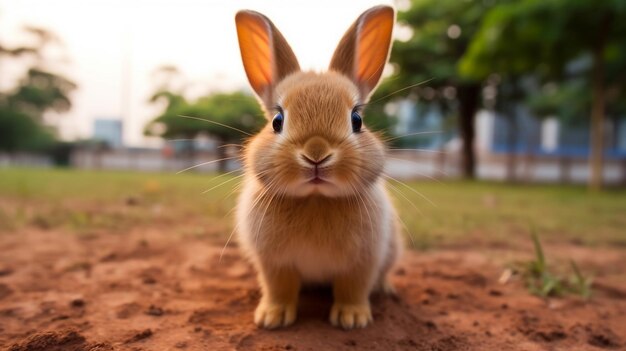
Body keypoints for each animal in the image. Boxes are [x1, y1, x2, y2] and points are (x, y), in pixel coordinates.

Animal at [233, 4, 400, 330]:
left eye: (357, 120)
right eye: (277, 121)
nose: (316, 153)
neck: (316, 199)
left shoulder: (362, 262)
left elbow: (352, 288)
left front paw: (352, 319)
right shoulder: (274, 263)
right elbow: (279, 289)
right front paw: (272, 318)